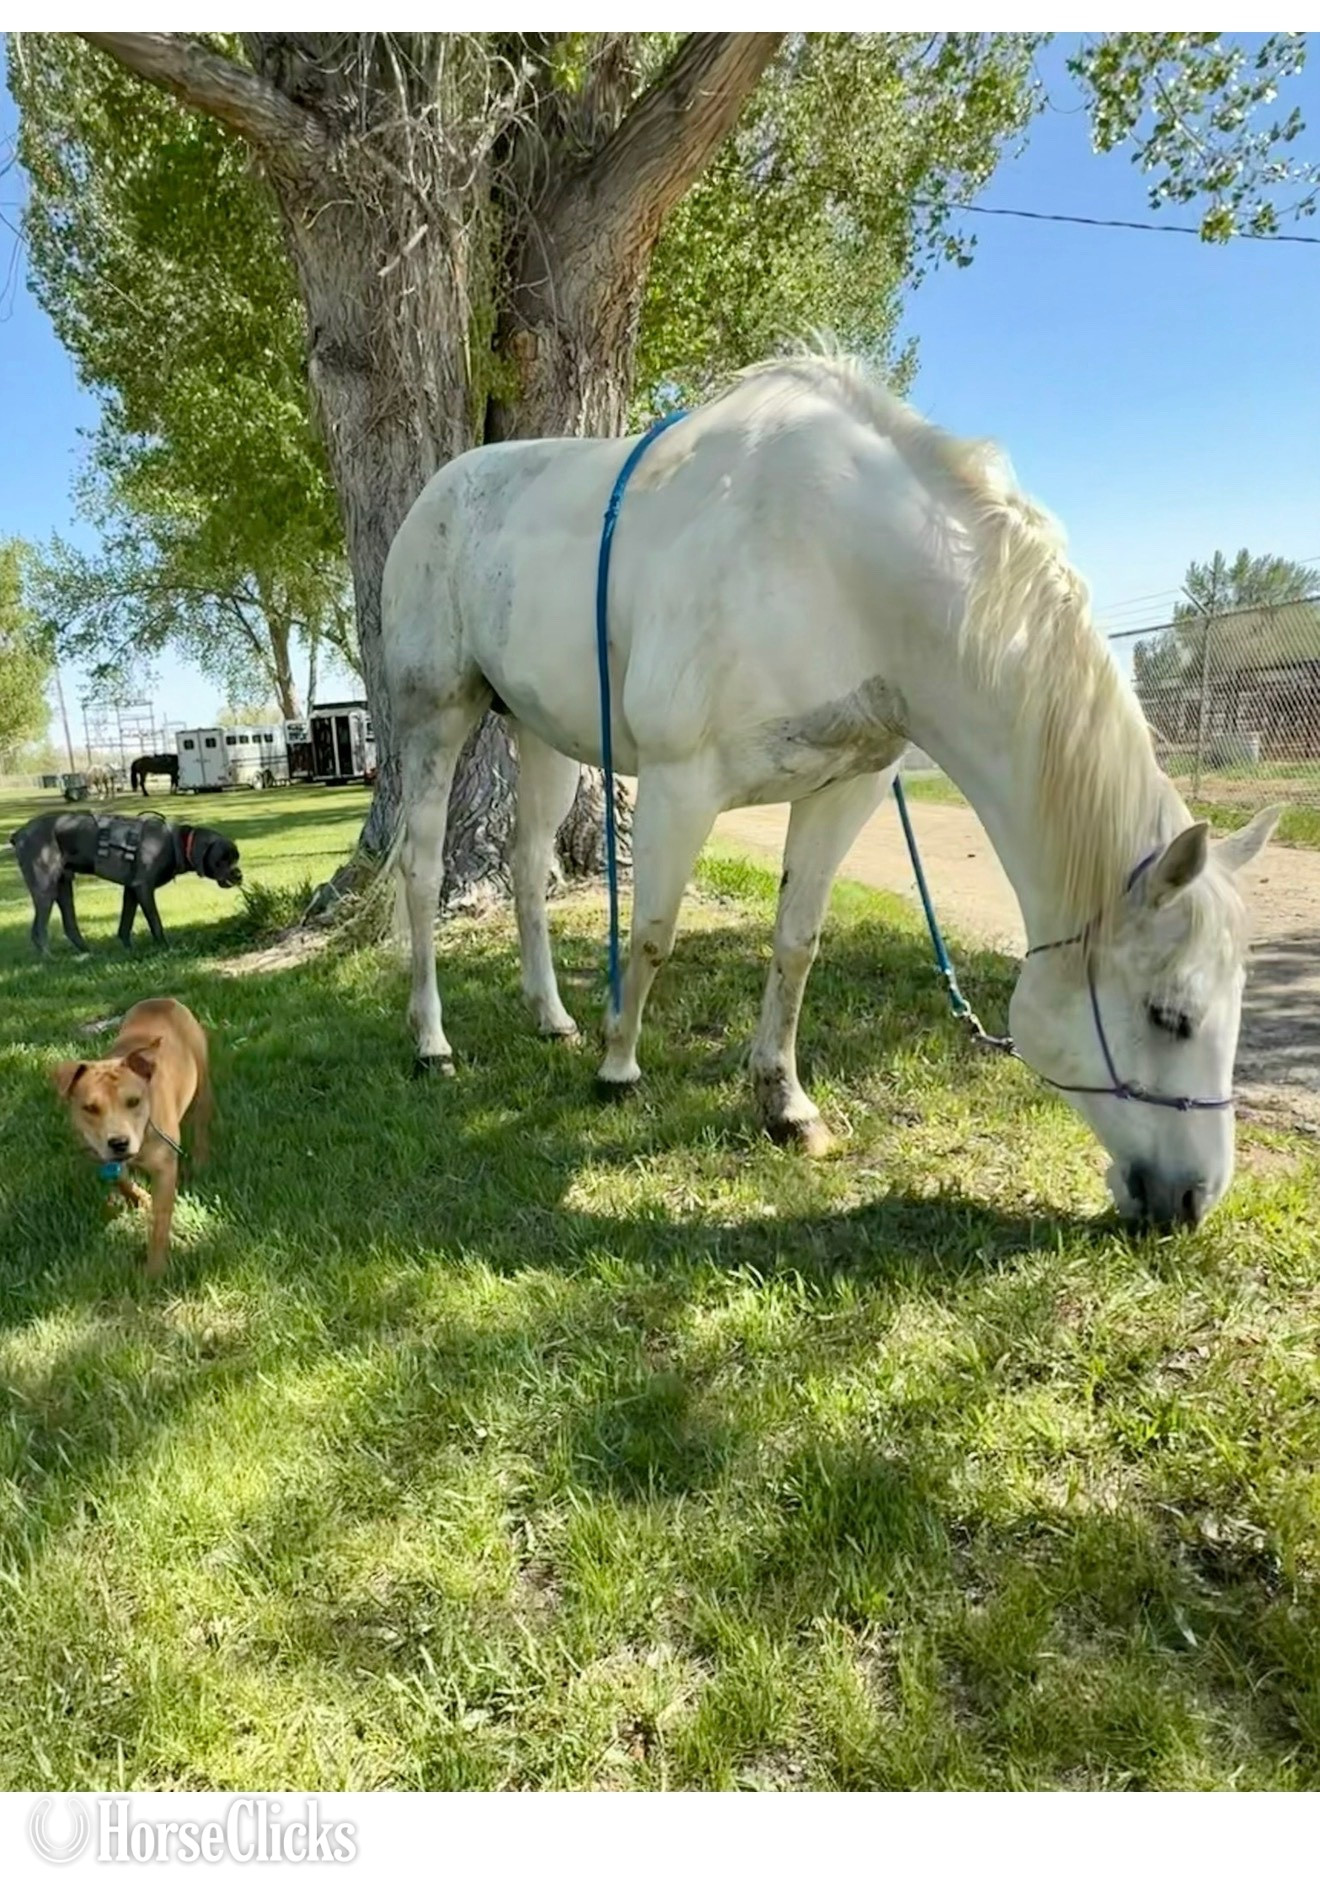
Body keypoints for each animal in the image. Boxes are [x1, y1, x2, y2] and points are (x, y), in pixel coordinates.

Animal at [381, 349, 1279, 1232]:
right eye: (1169, 1014)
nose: (1193, 1201)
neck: (835, 566)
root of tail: (438, 491)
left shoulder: (845, 787)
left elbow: (796, 943)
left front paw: (784, 1104)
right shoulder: (679, 784)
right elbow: (651, 935)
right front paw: (619, 1066)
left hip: (540, 736)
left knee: (528, 870)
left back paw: (551, 1016)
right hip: (437, 716)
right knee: (422, 874)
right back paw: (432, 1044)